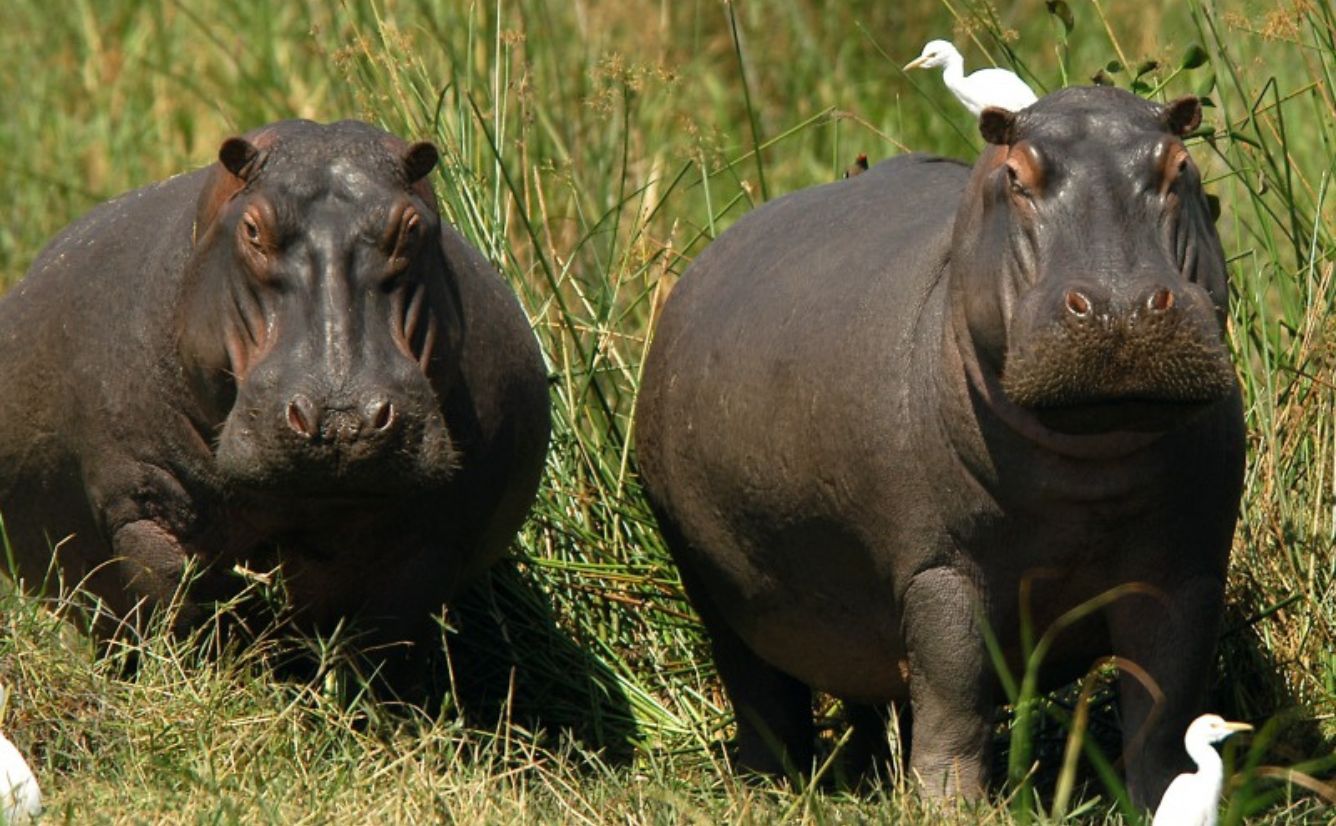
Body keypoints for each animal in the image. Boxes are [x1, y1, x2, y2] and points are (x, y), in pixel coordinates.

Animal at [0, 120, 550, 667]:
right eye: (252, 229)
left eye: (411, 228)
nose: (342, 419)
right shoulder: (143, 502)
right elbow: (170, 604)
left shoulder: (436, 536)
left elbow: (389, 639)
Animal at [635, 87, 1243, 808]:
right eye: (1016, 176)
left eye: (1180, 164)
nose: (1118, 307)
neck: (1092, 463)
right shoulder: (938, 570)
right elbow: (955, 693)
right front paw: (954, 806)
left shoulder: (1185, 569)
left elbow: (1164, 703)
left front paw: (1163, 802)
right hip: (711, 584)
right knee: (762, 694)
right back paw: (771, 788)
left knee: (872, 694)